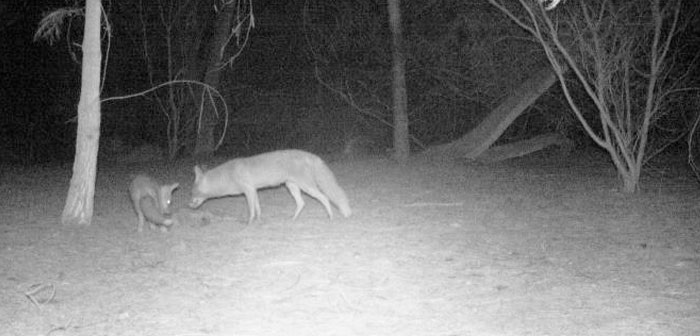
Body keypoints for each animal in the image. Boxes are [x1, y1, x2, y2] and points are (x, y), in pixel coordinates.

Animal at [189, 149, 352, 223]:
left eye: (191, 193)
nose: (188, 205)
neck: (229, 175)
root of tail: (309, 154)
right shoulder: (253, 191)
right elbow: (258, 209)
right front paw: (259, 220)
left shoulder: (248, 191)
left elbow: (251, 210)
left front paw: (249, 223)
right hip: (292, 187)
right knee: (302, 203)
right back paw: (293, 219)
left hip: (307, 187)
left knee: (324, 198)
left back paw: (330, 217)